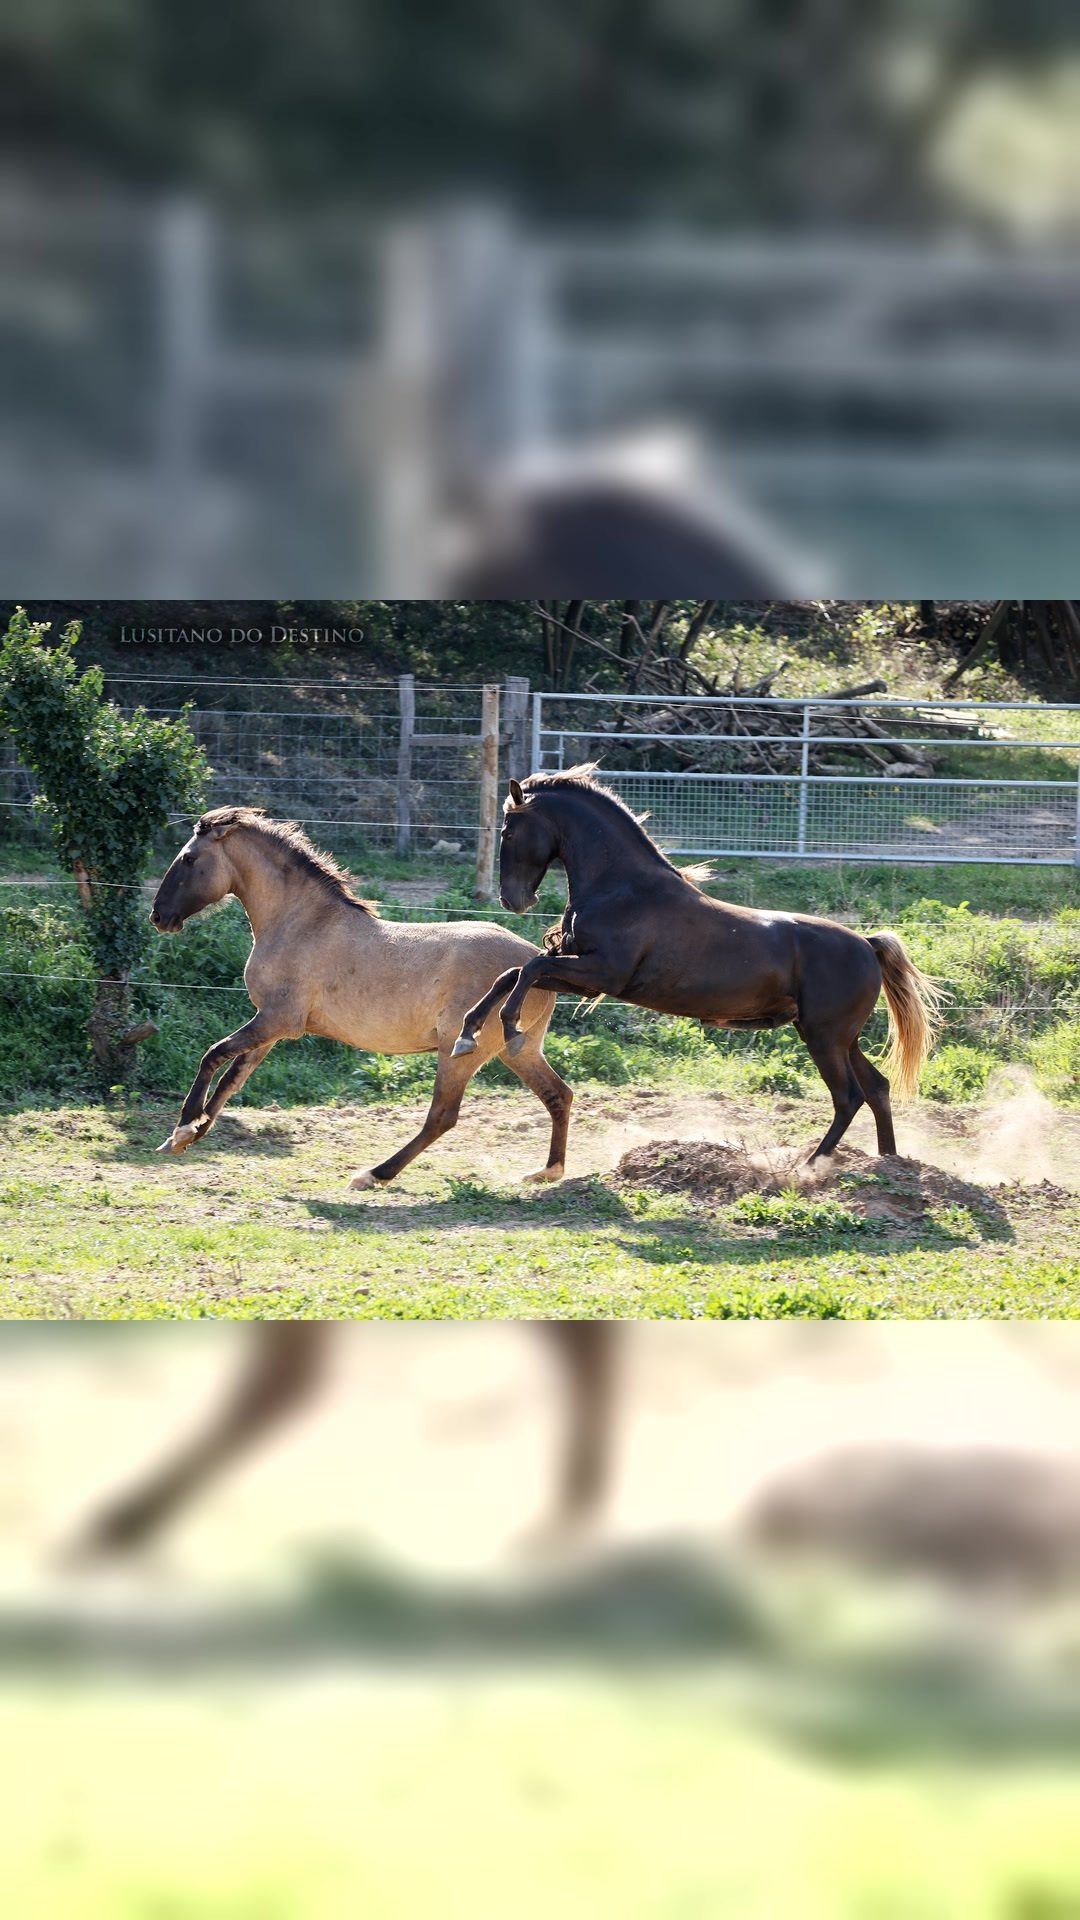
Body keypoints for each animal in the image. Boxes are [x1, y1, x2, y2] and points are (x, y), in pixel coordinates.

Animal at [150, 807, 574, 1188]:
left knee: (443, 1115)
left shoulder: (276, 1019)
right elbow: (232, 1079)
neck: (302, 925)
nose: (158, 916)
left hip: (460, 1050)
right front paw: (185, 1137)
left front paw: (184, 1126)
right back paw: (547, 1172)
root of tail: (532, 960)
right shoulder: (272, 1027)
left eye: (189, 858)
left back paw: (374, 1175)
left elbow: (213, 1055)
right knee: (559, 1094)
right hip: (518, 1049)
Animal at [453, 768, 942, 1163]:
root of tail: (866, 944)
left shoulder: (600, 975)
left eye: (509, 832)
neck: (622, 889)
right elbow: (512, 973)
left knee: (848, 1097)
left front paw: (511, 1029)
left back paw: (809, 1167)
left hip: (825, 1039)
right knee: (877, 1088)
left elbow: (529, 968)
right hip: (837, 1038)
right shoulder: (584, 977)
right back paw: (888, 1163)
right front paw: (467, 1033)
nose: (513, 900)